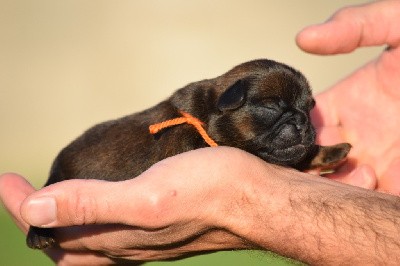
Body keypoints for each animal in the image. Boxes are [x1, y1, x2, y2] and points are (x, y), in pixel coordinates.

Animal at [26, 58, 350, 249]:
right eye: (271, 105)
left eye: (308, 109)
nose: (303, 122)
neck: (206, 116)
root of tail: (54, 167)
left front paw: (334, 151)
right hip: (57, 182)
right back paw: (39, 235)